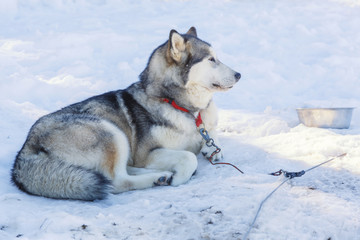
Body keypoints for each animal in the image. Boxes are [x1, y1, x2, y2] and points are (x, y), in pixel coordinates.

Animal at [11, 26, 240, 201]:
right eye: (211, 59)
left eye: (217, 58)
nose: (239, 74)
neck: (183, 107)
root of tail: (24, 152)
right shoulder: (146, 153)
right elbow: (188, 157)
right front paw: (182, 176)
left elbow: (212, 136)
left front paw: (211, 149)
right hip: (111, 132)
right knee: (117, 180)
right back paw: (159, 177)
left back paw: (160, 174)